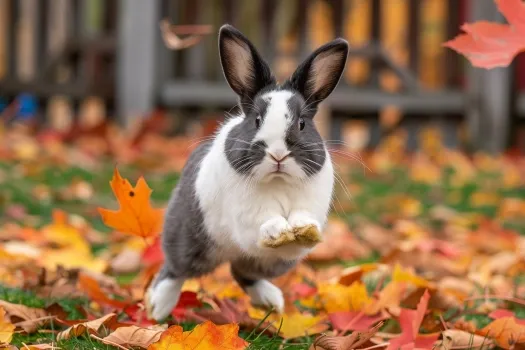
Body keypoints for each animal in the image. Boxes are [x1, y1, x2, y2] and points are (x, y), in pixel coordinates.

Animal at [146, 23, 348, 322]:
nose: (278, 154)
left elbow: (302, 225)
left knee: (241, 271)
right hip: (190, 240)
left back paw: (271, 301)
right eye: (256, 120)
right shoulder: (247, 217)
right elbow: (263, 223)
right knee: (175, 269)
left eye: (302, 123)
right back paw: (158, 307)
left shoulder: (306, 213)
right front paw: (278, 230)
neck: (277, 182)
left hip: (267, 264)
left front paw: (302, 229)